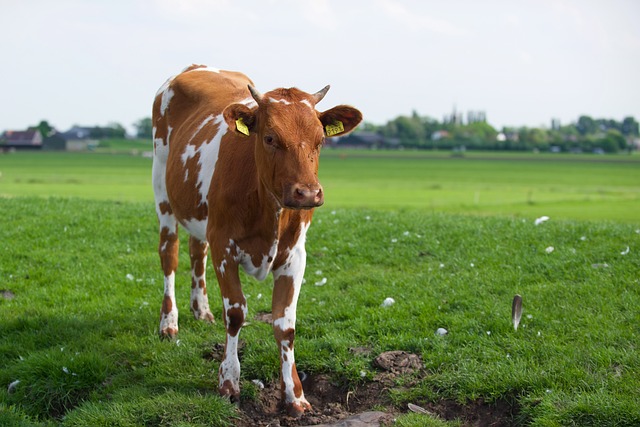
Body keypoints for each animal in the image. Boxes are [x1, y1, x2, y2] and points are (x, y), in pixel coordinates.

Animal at [150, 65, 360, 416]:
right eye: (270, 137)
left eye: (320, 140)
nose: (308, 193)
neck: (268, 210)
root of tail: (199, 67)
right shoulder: (224, 247)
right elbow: (235, 314)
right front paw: (229, 382)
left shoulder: (295, 255)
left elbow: (285, 324)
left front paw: (295, 395)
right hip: (163, 193)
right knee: (170, 255)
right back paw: (169, 323)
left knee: (196, 251)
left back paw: (200, 309)